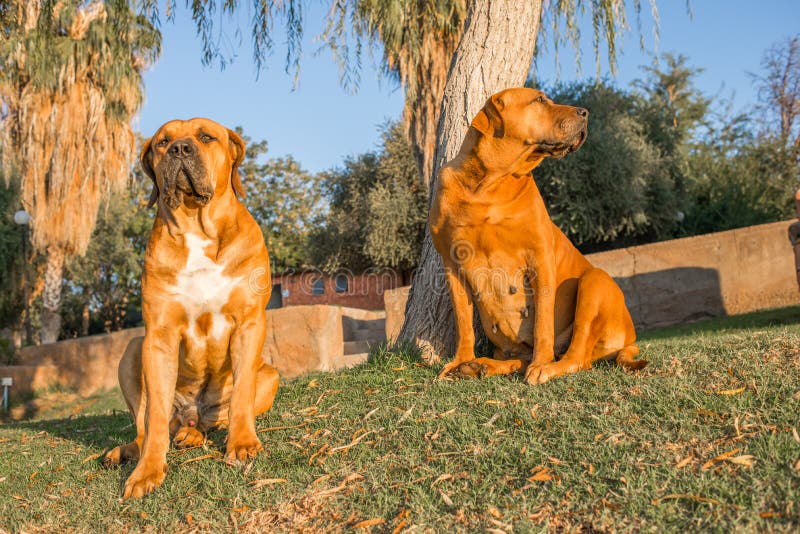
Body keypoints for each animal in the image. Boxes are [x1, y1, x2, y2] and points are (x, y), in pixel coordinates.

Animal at [103, 119, 280, 500]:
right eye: (162, 142)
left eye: (205, 137)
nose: (179, 149)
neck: (196, 226)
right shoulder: (158, 337)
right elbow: (153, 420)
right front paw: (147, 471)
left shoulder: (249, 322)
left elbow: (241, 394)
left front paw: (243, 444)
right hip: (131, 352)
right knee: (146, 427)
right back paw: (135, 449)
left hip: (270, 375)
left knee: (216, 419)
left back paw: (194, 434)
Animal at [428, 90, 648, 388]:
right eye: (540, 100)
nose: (584, 112)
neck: (489, 185)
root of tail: (630, 338)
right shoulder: (452, 266)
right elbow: (463, 324)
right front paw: (460, 361)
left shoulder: (540, 259)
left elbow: (543, 321)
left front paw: (541, 363)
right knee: (520, 358)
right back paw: (479, 365)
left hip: (594, 282)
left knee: (578, 357)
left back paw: (546, 368)